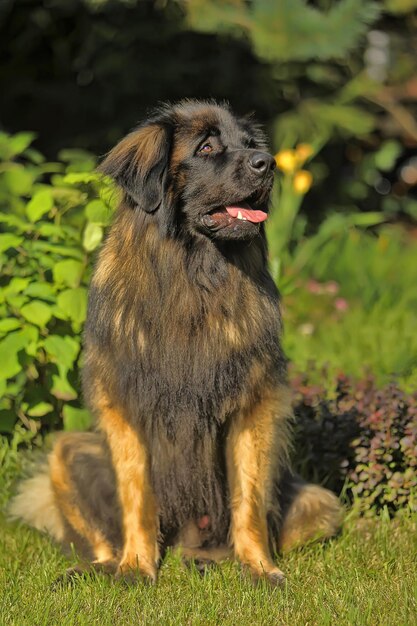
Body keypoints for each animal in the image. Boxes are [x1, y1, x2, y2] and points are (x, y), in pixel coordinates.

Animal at [10, 100, 342, 584]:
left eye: (250, 144)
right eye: (206, 147)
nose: (268, 163)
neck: (193, 277)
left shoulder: (252, 404)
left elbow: (248, 497)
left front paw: (259, 568)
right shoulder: (127, 404)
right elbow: (136, 493)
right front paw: (136, 567)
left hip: (319, 503)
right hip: (67, 453)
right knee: (99, 538)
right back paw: (95, 569)